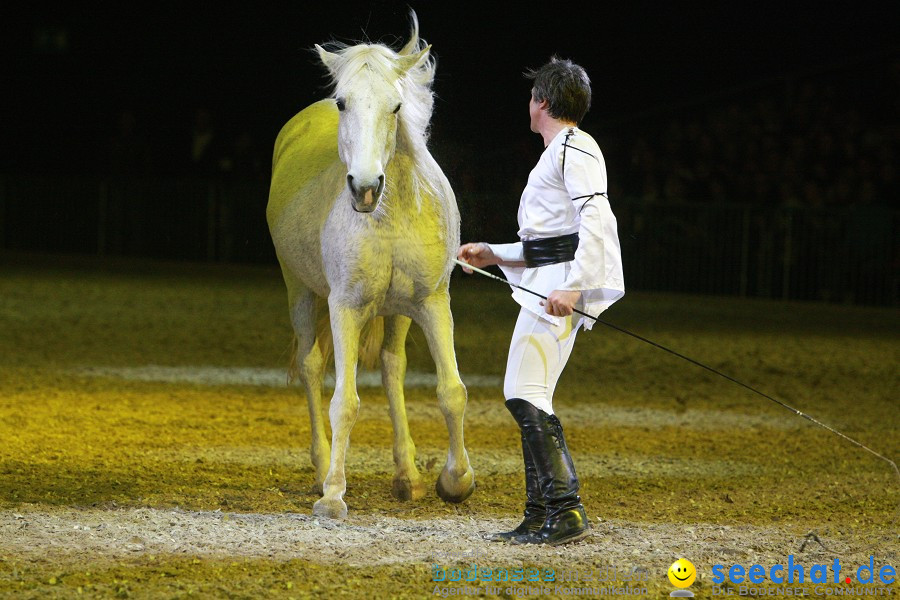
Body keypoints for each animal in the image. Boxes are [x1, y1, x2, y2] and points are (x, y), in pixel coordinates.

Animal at [266, 15, 474, 520]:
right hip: (300, 291)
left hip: (398, 312)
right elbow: (344, 401)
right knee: (311, 366)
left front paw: (454, 480)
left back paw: (407, 475)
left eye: (396, 105)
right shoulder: (345, 307)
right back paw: (323, 468)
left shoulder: (432, 302)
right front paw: (333, 495)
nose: (364, 187)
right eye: (343, 102)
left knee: (392, 366)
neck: (392, 213)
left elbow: (451, 390)